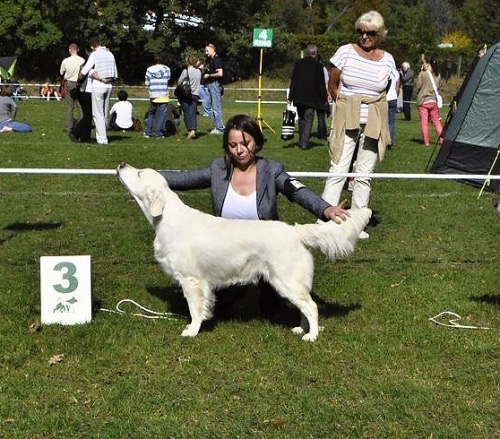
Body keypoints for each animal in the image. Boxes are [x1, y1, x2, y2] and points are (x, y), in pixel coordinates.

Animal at [117, 163, 371, 341]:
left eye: (139, 173)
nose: (121, 164)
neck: (168, 217)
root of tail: (294, 231)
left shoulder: (192, 280)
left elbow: (195, 308)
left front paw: (192, 330)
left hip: (285, 280)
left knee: (312, 307)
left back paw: (312, 335)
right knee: (305, 307)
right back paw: (300, 329)